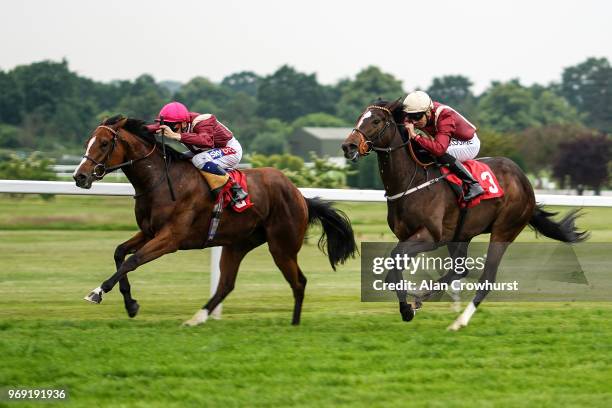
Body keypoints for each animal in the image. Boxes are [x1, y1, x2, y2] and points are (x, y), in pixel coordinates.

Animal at [73, 116, 356, 326]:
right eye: (87, 141)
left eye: (104, 143)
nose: (79, 176)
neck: (160, 181)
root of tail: (299, 195)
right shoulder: (149, 232)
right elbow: (120, 253)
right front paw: (130, 304)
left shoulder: (170, 238)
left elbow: (132, 261)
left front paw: (97, 292)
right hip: (238, 244)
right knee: (226, 284)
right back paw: (196, 318)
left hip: (281, 246)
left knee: (299, 282)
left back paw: (294, 325)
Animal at [342, 99, 584, 332]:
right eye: (359, 117)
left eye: (376, 121)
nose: (348, 146)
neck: (413, 181)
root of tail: (526, 183)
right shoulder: (407, 237)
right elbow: (392, 272)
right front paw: (410, 305)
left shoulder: (429, 237)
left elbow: (393, 264)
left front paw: (410, 305)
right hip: (461, 234)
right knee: (460, 269)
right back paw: (427, 296)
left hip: (504, 230)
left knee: (487, 279)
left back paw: (458, 321)